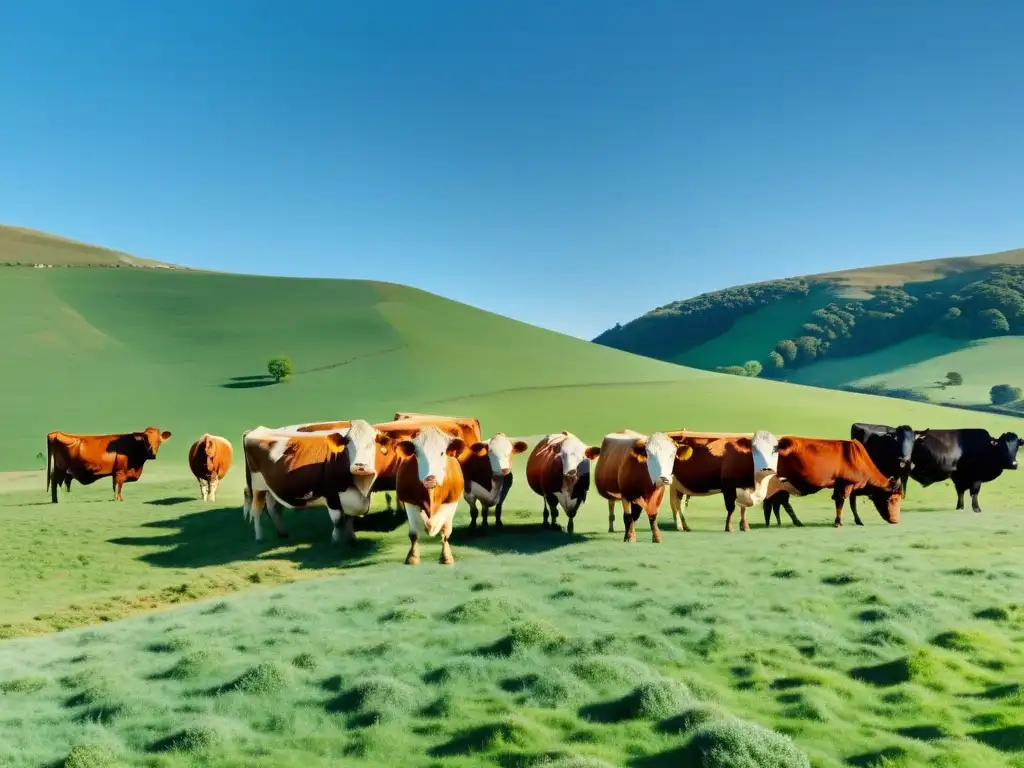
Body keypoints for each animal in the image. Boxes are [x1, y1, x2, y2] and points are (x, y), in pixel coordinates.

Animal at [241, 423, 393, 544]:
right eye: (348, 445)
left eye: (373, 444)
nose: (360, 467)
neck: (361, 489)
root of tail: (256, 429)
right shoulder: (331, 494)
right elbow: (338, 520)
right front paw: (335, 541)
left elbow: (350, 518)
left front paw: (352, 539)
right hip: (257, 486)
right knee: (257, 510)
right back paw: (259, 537)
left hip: (271, 487)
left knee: (273, 508)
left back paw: (283, 533)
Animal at [395, 423, 468, 569]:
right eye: (416, 453)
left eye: (442, 453)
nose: (430, 479)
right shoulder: (409, 503)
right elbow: (413, 534)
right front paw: (412, 558)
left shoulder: (451, 503)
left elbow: (445, 532)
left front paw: (446, 558)